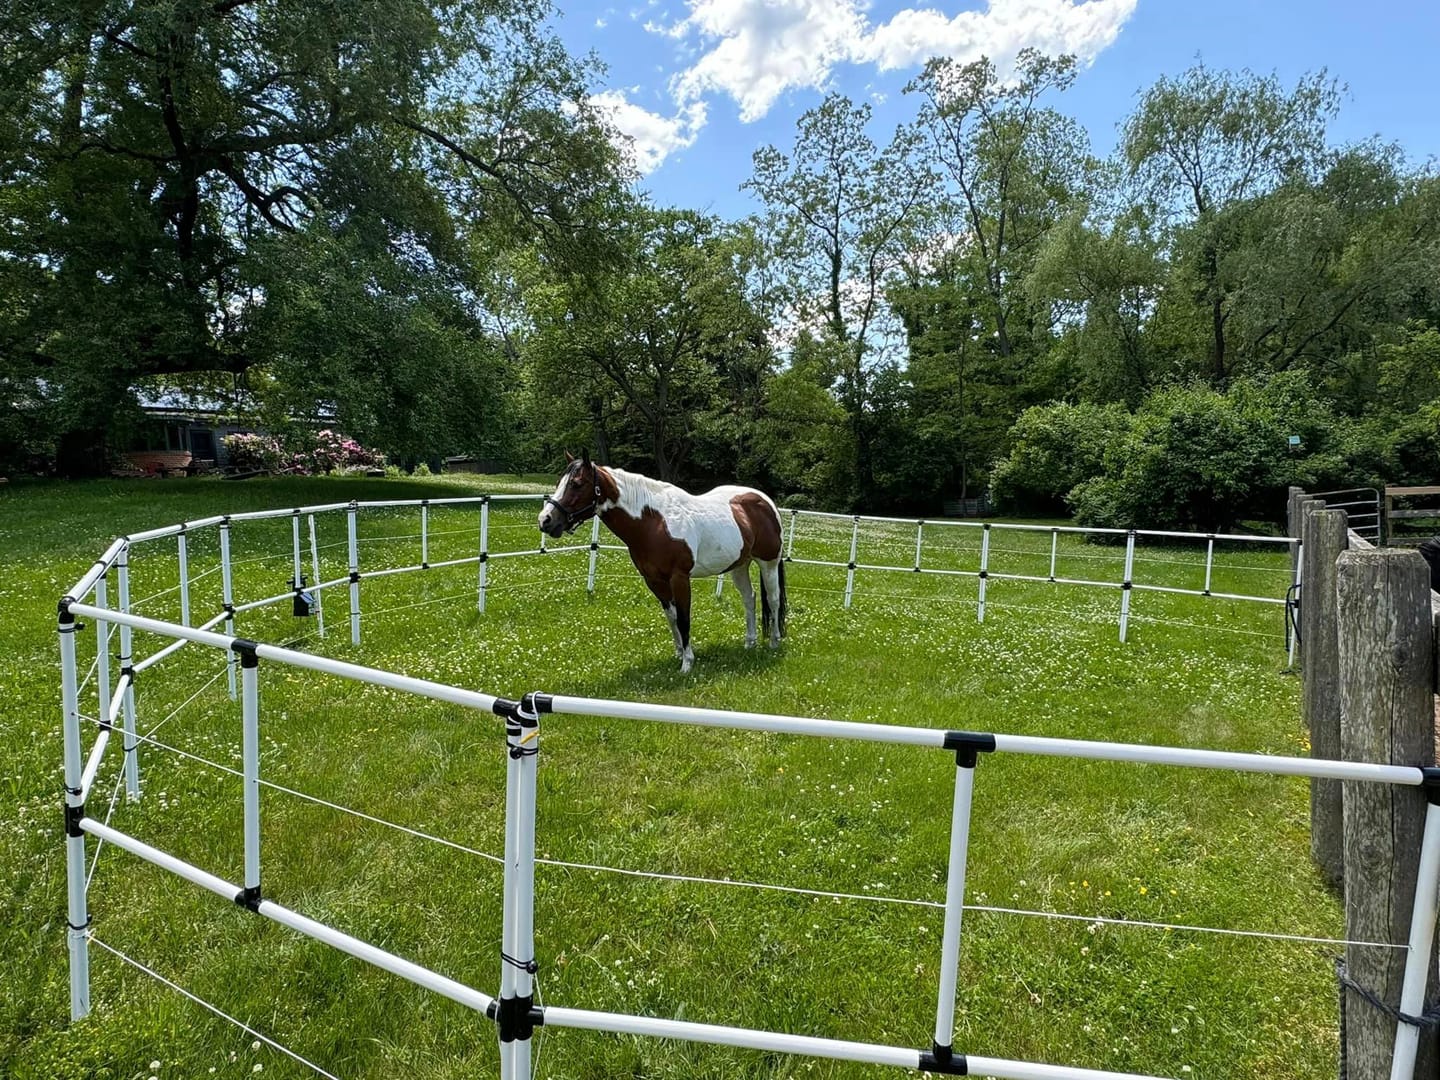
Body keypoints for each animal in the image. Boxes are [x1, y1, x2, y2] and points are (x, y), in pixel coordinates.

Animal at [539, 452, 786, 673]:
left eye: (577, 484)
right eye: (560, 483)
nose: (545, 520)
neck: (654, 523)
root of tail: (766, 502)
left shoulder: (679, 578)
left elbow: (684, 617)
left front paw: (687, 663)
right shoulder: (654, 580)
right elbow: (672, 616)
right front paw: (679, 653)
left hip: (768, 563)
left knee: (773, 599)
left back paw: (774, 642)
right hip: (740, 566)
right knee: (749, 598)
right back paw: (750, 642)